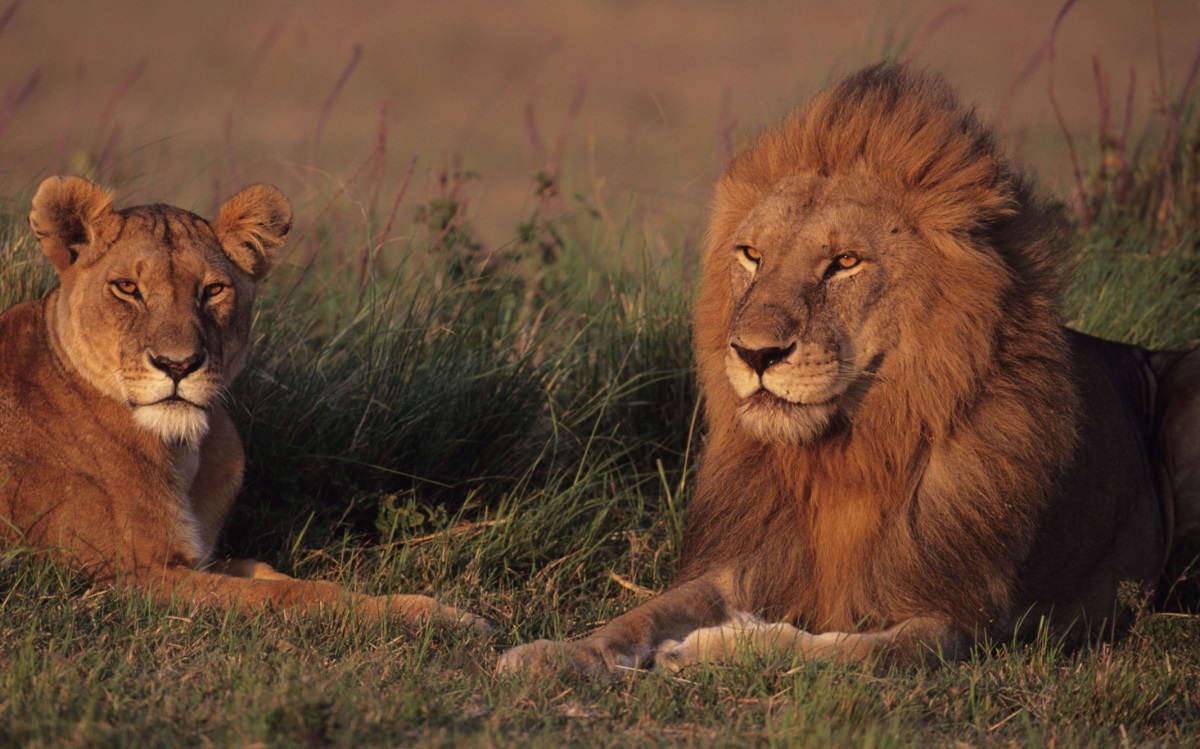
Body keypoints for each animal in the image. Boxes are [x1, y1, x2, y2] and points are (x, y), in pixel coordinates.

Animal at [1, 178, 487, 628]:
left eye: (213, 290)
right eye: (126, 288)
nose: (178, 365)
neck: (184, 453)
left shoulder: (194, 560)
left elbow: (270, 571)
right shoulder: (123, 579)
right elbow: (297, 594)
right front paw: (437, 615)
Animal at [499, 64, 1200, 672]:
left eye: (844, 263)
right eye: (751, 255)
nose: (754, 353)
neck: (844, 455)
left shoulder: (958, 620)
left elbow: (837, 649)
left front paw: (712, 646)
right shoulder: (739, 562)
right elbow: (638, 615)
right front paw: (556, 655)